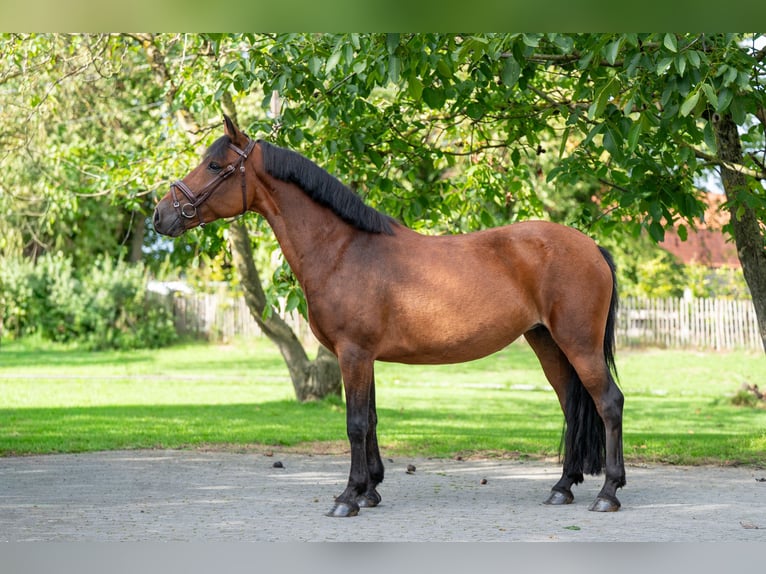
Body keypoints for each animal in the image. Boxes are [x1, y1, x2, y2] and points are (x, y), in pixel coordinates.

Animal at [153, 115, 625, 517]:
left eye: (215, 165)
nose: (161, 215)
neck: (342, 249)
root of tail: (591, 247)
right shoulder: (365, 357)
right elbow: (373, 420)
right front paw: (371, 490)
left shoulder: (353, 354)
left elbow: (356, 424)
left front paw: (348, 497)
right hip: (547, 342)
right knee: (572, 406)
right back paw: (562, 487)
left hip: (577, 344)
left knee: (609, 402)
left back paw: (607, 493)